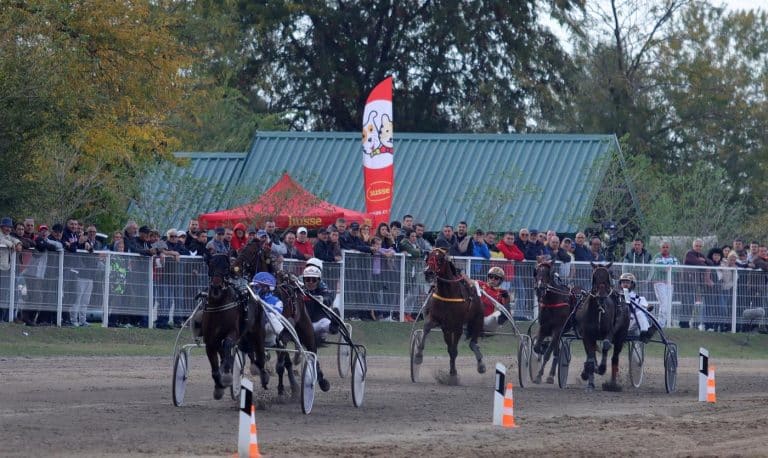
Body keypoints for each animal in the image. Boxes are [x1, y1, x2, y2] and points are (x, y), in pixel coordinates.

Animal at [414, 247, 486, 382]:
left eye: (440, 259)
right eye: (428, 258)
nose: (428, 272)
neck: (448, 293)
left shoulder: (457, 326)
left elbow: (454, 350)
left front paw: (453, 373)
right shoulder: (439, 322)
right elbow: (426, 328)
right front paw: (418, 356)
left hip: (477, 319)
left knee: (473, 342)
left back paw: (481, 365)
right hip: (448, 329)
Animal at [536, 256, 584, 384]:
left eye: (549, 272)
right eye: (536, 271)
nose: (540, 288)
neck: (552, 301)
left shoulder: (557, 329)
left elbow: (548, 353)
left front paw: (540, 375)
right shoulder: (543, 327)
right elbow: (537, 347)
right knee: (556, 351)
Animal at [576, 262, 632, 392]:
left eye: (607, 277)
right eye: (595, 277)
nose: (601, 296)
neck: (599, 310)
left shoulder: (610, 332)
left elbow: (606, 345)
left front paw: (601, 368)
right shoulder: (587, 336)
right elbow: (590, 359)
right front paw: (590, 383)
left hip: (621, 336)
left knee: (614, 357)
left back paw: (612, 384)